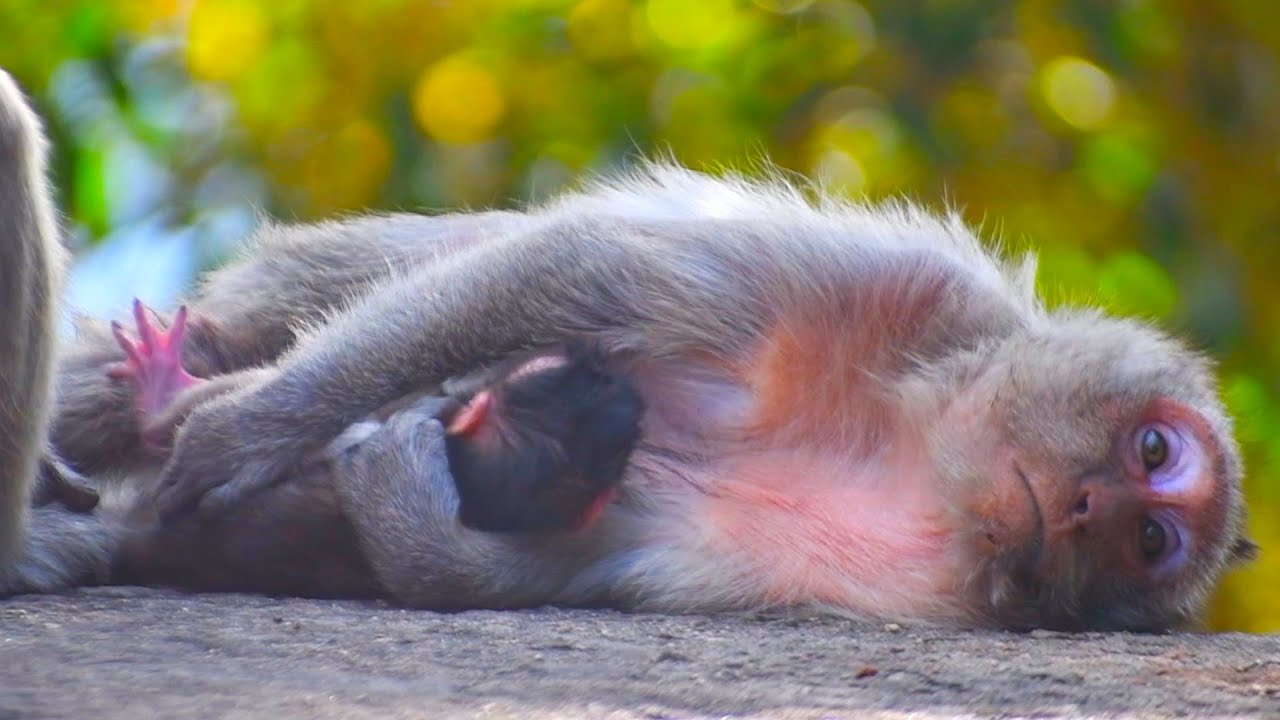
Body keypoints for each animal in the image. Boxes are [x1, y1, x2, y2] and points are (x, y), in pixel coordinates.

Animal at [0, 68, 1258, 630]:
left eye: (1148, 536)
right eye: (1152, 454)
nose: (1091, 508)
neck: (910, 450)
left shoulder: (915, 588)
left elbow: (540, 569)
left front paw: (405, 498)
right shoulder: (906, 298)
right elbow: (588, 267)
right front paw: (231, 433)